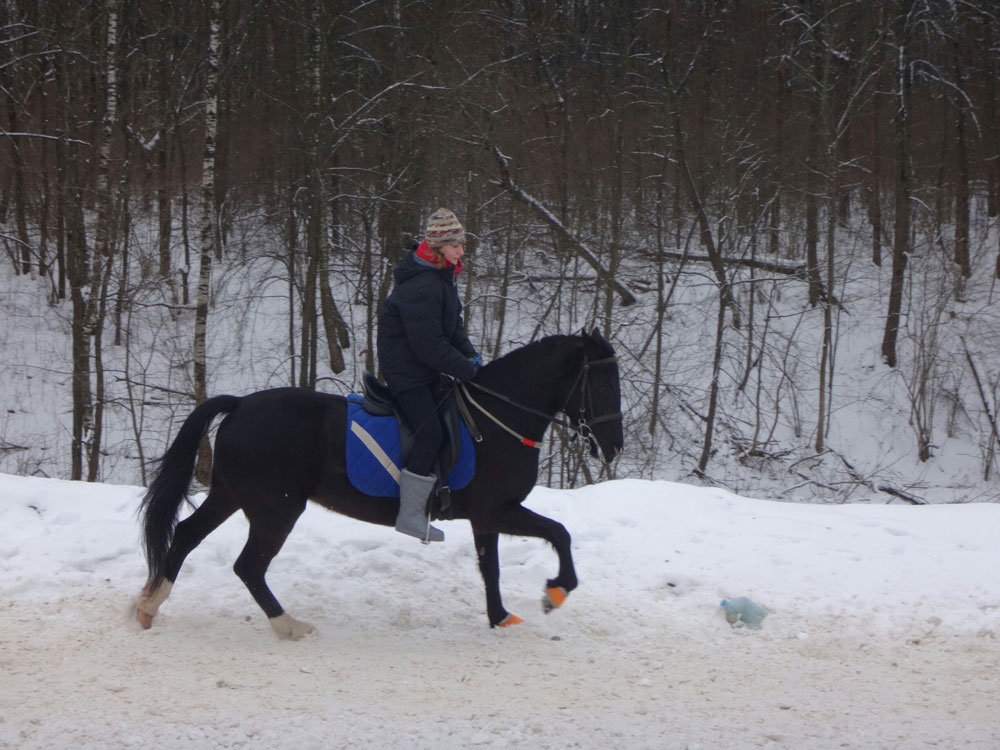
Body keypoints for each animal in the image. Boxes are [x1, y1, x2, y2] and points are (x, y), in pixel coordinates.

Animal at [137, 330, 620, 640]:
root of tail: (239, 405)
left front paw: (500, 617)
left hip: (231, 495)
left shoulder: (487, 518)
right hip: (277, 509)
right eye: (601, 381)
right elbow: (559, 532)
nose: (612, 446)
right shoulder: (496, 510)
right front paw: (556, 591)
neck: (496, 420)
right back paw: (289, 626)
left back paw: (147, 607)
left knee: (185, 537)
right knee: (248, 567)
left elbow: (492, 567)